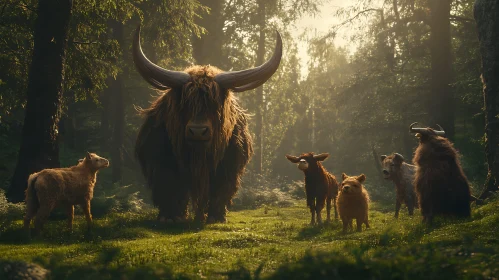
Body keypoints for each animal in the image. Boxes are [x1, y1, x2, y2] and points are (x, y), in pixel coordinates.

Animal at [132, 25, 282, 223]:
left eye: (214, 104)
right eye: (185, 103)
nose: (197, 131)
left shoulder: (228, 167)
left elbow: (220, 191)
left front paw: (217, 217)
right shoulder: (160, 162)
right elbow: (170, 187)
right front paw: (171, 216)